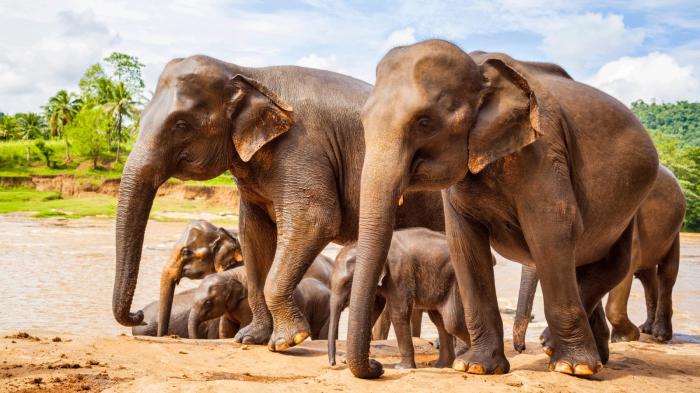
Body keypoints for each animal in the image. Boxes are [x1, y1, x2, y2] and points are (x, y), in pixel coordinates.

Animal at [328, 227, 470, 368]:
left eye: (348, 283)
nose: (333, 363)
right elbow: (373, 308)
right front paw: (345, 360)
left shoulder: (399, 273)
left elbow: (398, 312)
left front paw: (402, 367)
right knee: (439, 320)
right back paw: (440, 366)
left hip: (457, 283)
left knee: (453, 321)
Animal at [348, 39, 660, 376]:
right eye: (363, 121)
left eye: (424, 122)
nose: (378, 366)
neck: (479, 67)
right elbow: (465, 245)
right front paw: (476, 367)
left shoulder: (543, 149)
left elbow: (552, 230)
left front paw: (571, 367)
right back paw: (594, 358)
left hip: (630, 205)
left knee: (613, 263)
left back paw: (567, 355)